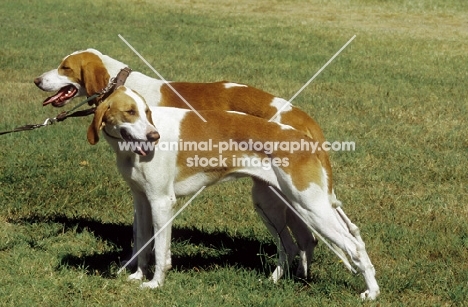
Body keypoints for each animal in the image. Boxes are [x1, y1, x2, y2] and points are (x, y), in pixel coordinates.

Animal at [86, 86, 380, 300]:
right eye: (130, 112)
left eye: (146, 112)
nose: (153, 136)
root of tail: (307, 141)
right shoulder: (142, 201)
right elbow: (142, 241)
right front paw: (137, 276)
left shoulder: (161, 202)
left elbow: (160, 250)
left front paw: (156, 284)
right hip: (270, 205)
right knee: (290, 245)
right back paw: (275, 280)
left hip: (312, 208)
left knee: (354, 246)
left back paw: (372, 292)